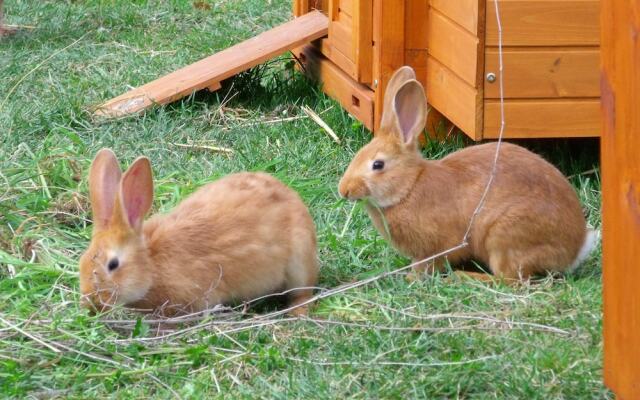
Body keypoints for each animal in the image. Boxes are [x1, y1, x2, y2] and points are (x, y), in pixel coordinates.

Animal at [80, 149, 320, 316]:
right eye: (82, 261)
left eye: (113, 265)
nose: (90, 302)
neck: (152, 265)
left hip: (299, 260)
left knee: (303, 291)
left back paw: (297, 312)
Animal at [338, 66, 596, 282]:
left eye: (378, 165)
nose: (344, 190)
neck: (410, 187)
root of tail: (576, 248)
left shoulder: (438, 247)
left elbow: (429, 264)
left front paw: (412, 277)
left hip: (503, 236)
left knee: (509, 280)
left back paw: (466, 277)